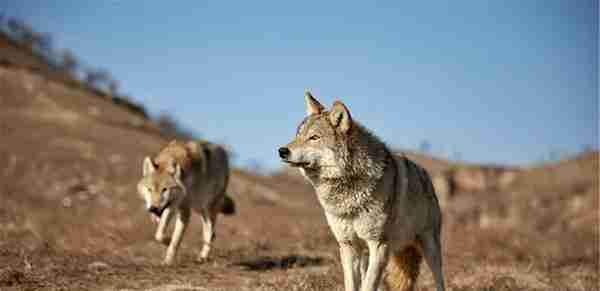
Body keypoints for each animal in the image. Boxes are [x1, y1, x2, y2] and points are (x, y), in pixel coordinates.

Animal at [278, 93, 442, 291]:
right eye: (298, 135)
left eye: (314, 137)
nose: (282, 151)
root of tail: (425, 173)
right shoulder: (348, 246)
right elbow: (353, 284)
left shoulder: (379, 245)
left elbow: (368, 286)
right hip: (367, 253)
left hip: (430, 248)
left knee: (439, 279)